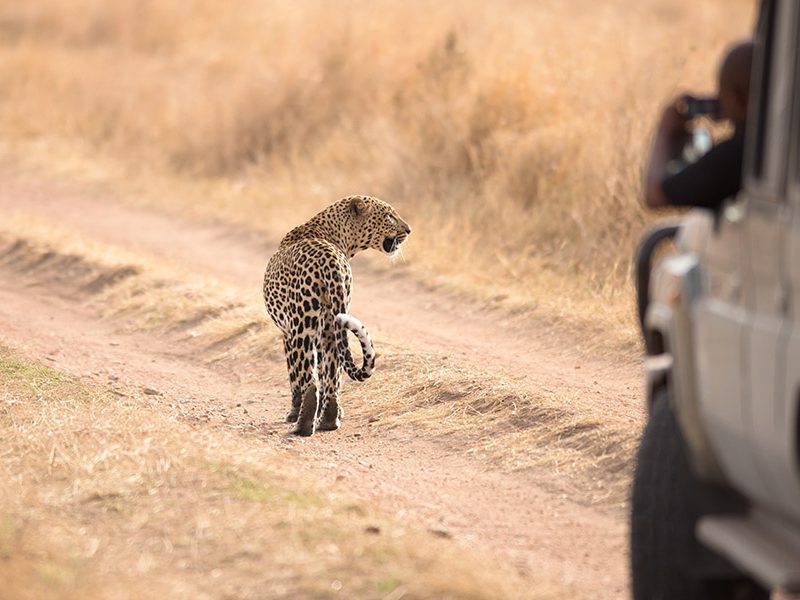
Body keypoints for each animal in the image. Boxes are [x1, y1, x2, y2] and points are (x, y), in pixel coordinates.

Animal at [264, 197, 412, 436]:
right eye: (389, 216)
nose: (409, 230)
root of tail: (330, 260)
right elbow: (326, 373)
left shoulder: (287, 333)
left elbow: (294, 375)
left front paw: (292, 413)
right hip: (331, 324)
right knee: (332, 373)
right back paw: (329, 420)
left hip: (302, 326)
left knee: (309, 380)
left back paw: (302, 425)